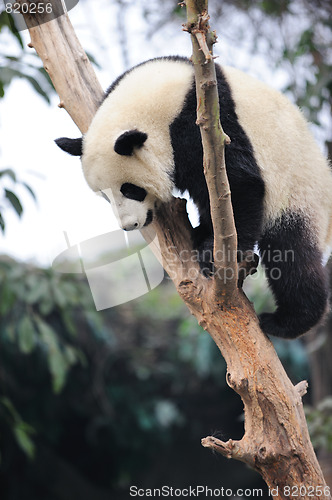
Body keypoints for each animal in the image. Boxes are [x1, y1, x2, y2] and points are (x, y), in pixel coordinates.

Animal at [55, 56, 332, 340]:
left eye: (130, 189)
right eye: (104, 196)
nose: (130, 225)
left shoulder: (206, 124)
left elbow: (240, 183)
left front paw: (214, 255)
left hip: (299, 192)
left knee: (292, 254)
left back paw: (287, 321)